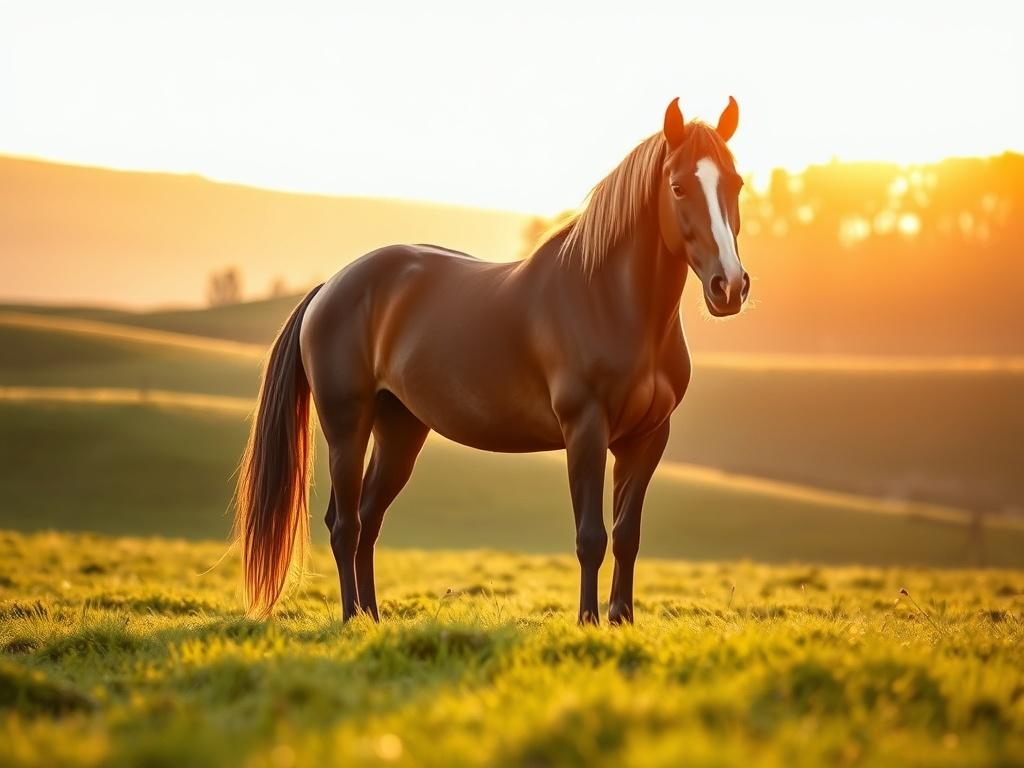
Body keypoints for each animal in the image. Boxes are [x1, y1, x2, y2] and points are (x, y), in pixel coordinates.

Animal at [234, 96, 749, 625]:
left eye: (736, 183)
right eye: (678, 186)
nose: (729, 287)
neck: (609, 302)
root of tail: (329, 287)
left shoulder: (647, 438)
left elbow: (627, 536)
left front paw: (620, 619)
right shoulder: (585, 429)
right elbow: (591, 537)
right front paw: (588, 620)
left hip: (399, 428)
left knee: (369, 521)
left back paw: (373, 617)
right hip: (346, 426)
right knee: (345, 525)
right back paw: (353, 617)